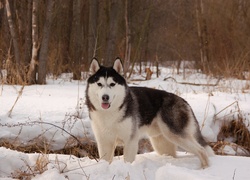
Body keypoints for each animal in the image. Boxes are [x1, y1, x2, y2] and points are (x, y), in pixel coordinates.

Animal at [85, 57, 213, 167]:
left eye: (112, 84)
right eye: (99, 84)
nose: (105, 97)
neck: (109, 113)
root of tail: (183, 101)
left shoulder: (130, 141)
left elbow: (128, 161)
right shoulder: (104, 142)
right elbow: (106, 161)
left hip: (176, 135)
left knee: (202, 150)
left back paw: (204, 168)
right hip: (162, 143)